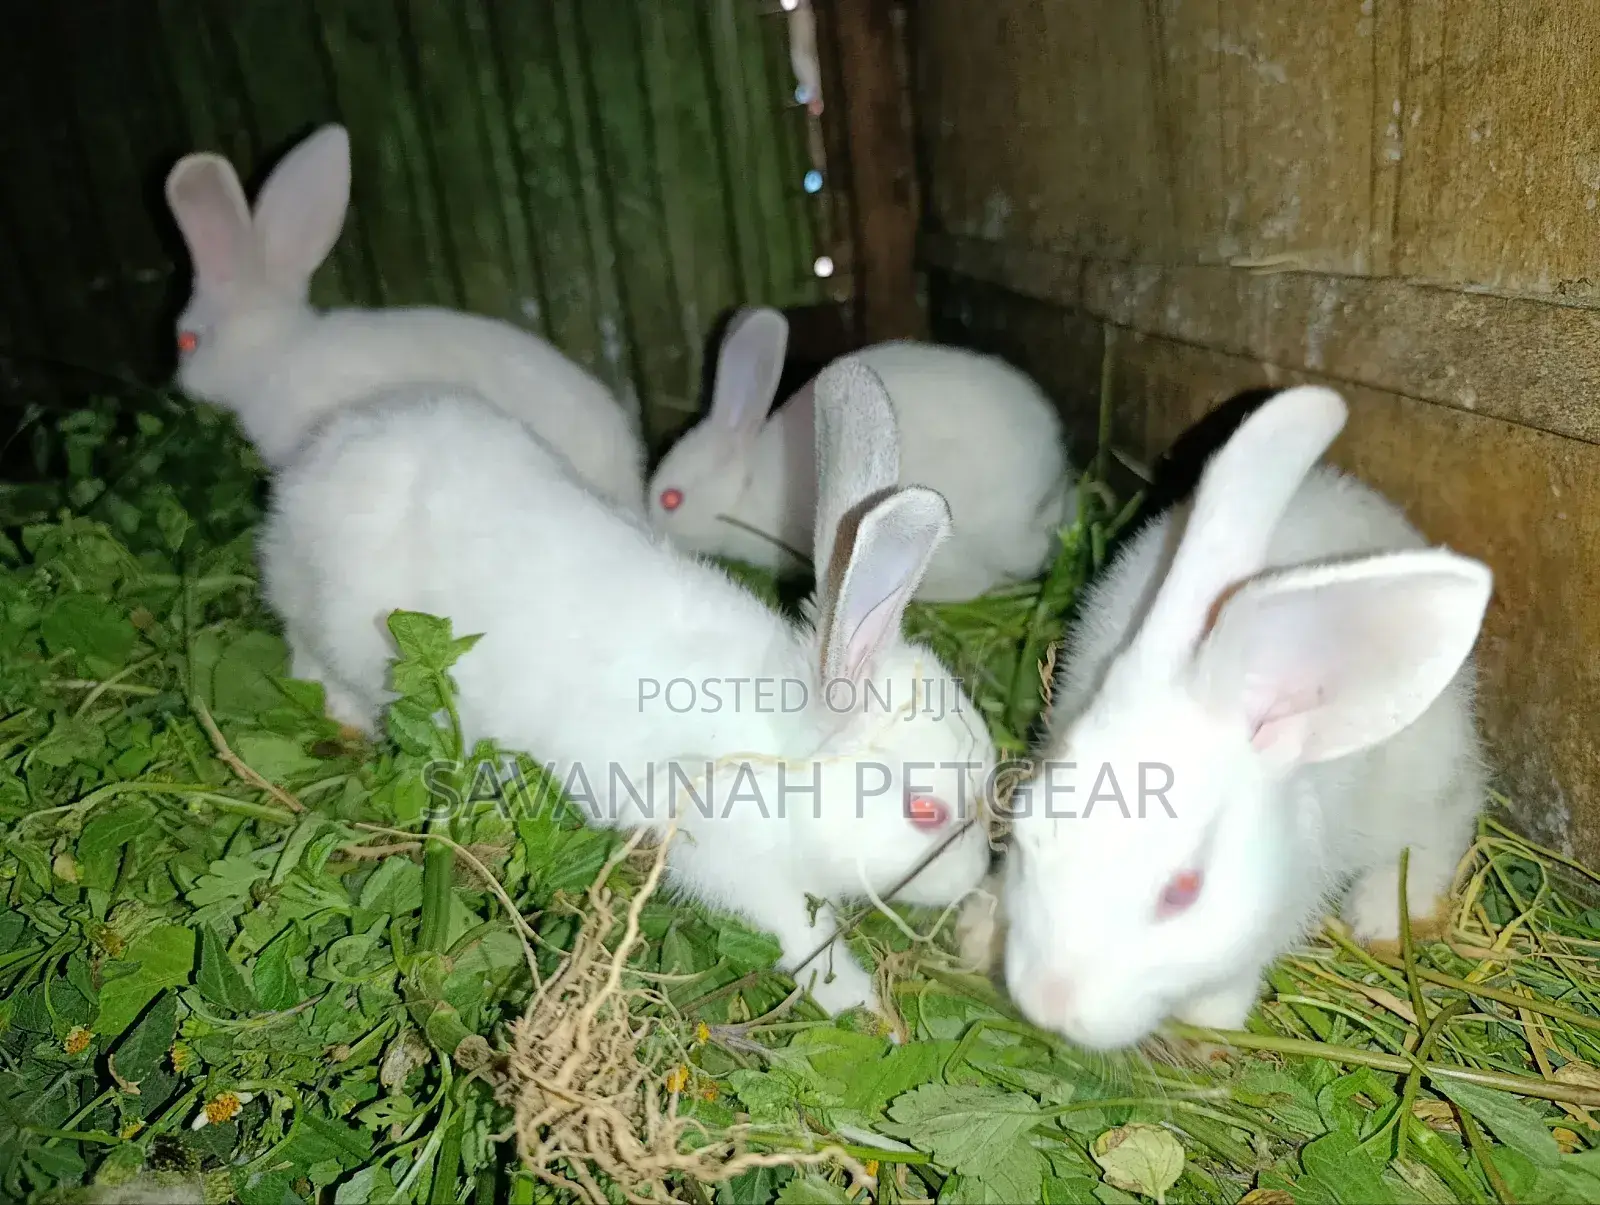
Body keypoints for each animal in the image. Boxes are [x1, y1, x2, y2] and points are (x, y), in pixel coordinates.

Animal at [257, 356, 996, 1016]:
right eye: (925, 811)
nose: (972, 878)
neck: (780, 750)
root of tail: (326, 451)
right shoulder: (730, 858)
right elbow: (802, 935)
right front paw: (867, 1009)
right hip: (329, 620)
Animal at [995, 384, 1493, 1051]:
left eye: (1184, 892)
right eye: (1028, 829)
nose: (1048, 1003)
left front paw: (1211, 1025)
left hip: (1426, 776)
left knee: (1443, 826)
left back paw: (1385, 913)